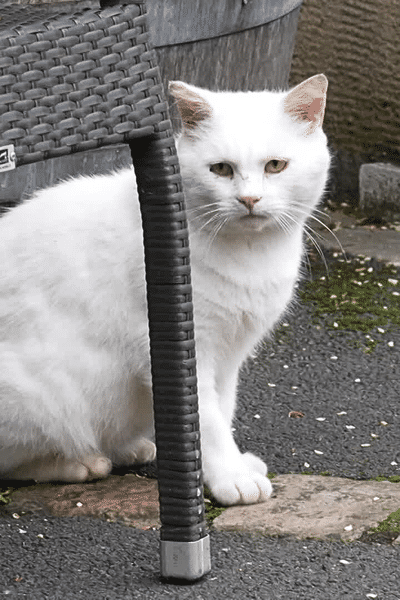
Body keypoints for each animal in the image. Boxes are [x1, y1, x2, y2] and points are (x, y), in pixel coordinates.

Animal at [0, 75, 330, 506]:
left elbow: (223, 409)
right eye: (221, 169)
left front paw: (227, 466)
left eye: (275, 166)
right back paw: (80, 463)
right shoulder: (186, 350)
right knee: (15, 462)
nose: (249, 199)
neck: (250, 256)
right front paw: (231, 477)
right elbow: (207, 421)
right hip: (44, 396)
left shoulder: (229, 357)